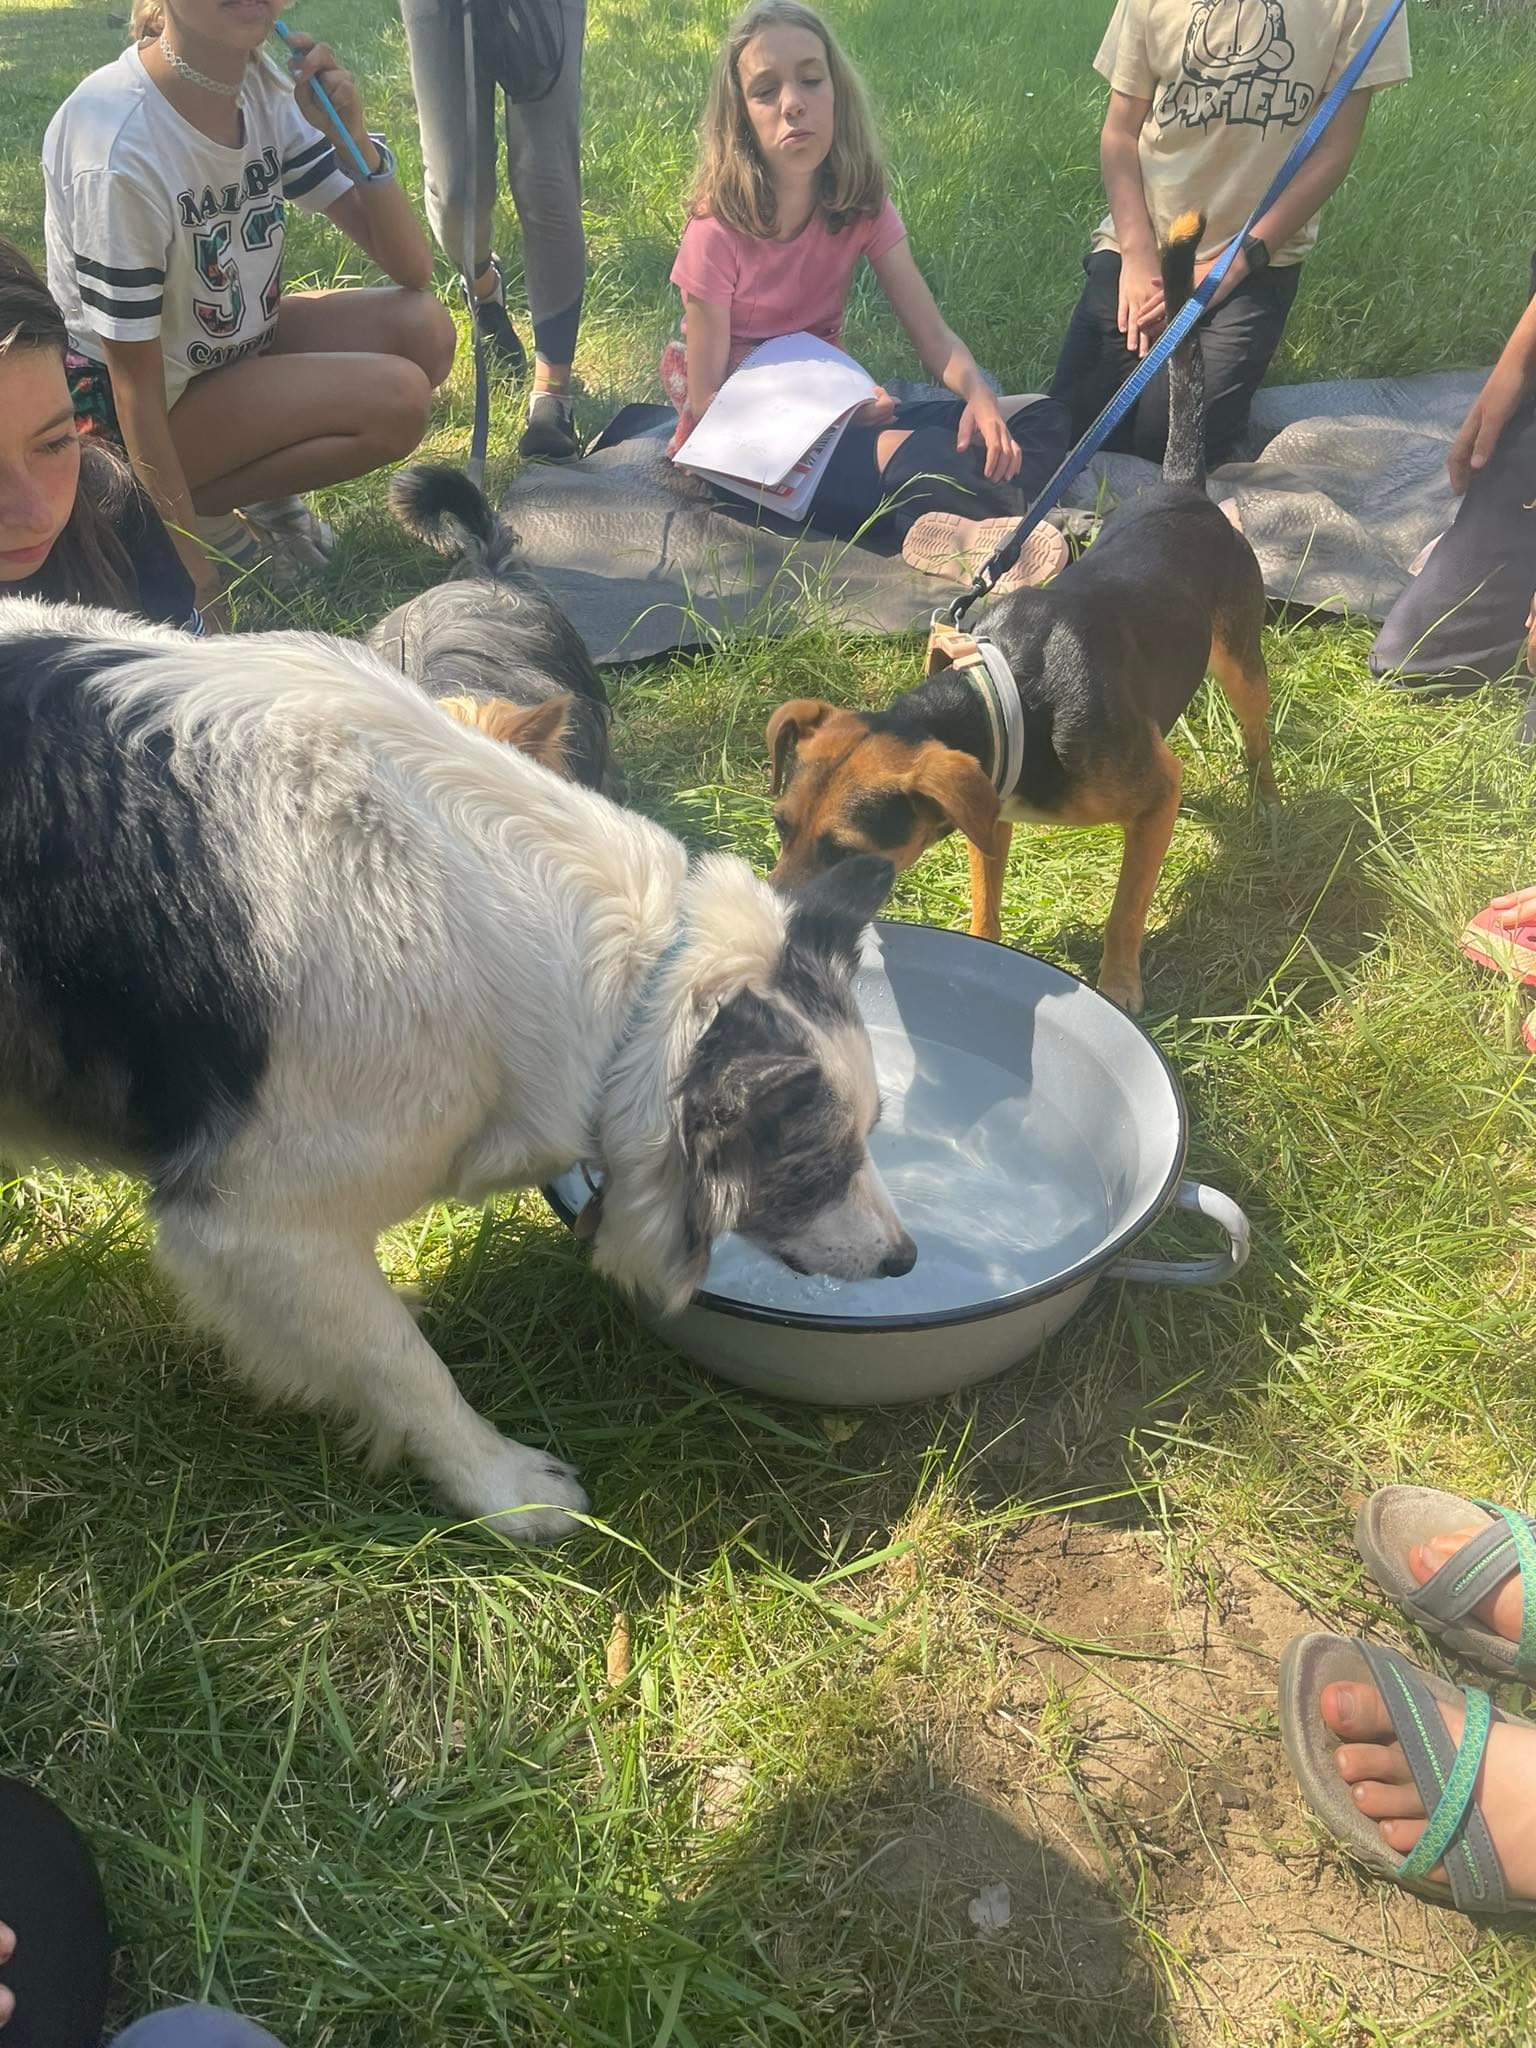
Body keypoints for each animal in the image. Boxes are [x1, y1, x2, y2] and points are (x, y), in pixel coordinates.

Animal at [0, 598, 914, 1538]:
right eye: (819, 1165)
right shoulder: (255, 1219)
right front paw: (502, 1486)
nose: (905, 1259)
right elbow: (406, 1368)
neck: (634, 982)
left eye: (872, 1136)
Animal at [764, 212, 1278, 1014]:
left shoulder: (1155, 792)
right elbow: (986, 899)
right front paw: (984, 955)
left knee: (1257, 728)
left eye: (847, 856)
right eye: (780, 827)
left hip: (1239, 655)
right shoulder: (989, 808)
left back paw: (1267, 801)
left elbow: (1127, 906)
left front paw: (1119, 981)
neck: (1008, 698)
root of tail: (1181, 489)